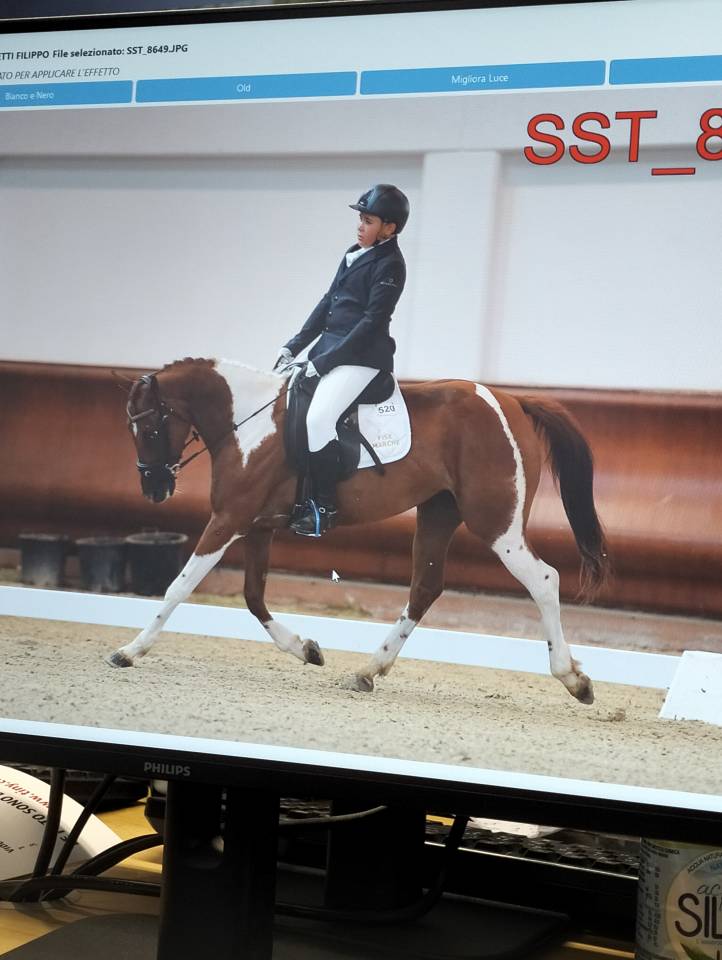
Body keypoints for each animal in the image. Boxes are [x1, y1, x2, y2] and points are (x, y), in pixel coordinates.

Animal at [110, 357, 609, 704]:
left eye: (149, 429)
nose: (154, 489)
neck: (248, 427)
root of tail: (512, 402)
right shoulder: (257, 527)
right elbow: (253, 597)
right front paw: (306, 649)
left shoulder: (229, 519)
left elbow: (178, 587)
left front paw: (129, 651)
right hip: (439, 512)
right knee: (425, 588)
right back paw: (368, 670)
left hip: (496, 522)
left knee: (544, 579)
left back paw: (573, 679)